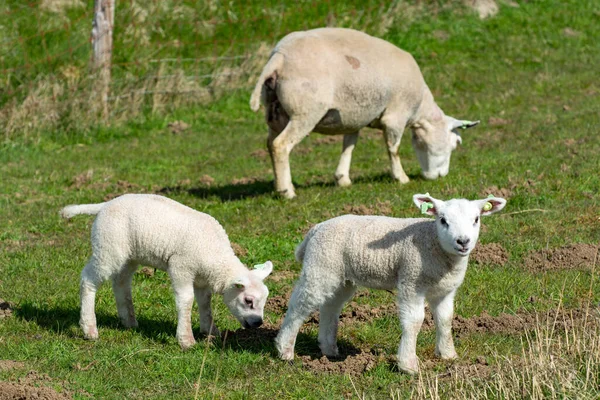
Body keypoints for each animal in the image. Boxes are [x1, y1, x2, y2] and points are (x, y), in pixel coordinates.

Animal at [60, 195, 272, 348]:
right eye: (248, 300)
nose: (258, 323)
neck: (215, 256)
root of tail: (105, 204)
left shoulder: (202, 279)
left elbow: (205, 303)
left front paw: (211, 331)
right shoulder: (181, 267)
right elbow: (186, 301)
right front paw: (186, 339)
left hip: (128, 255)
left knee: (121, 282)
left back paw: (129, 321)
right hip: (108, 246)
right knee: (88, 279)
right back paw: (89, 329)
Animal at [248, 26, 478, 198]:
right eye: (455, 143)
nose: (442, 176)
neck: (419, 110)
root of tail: (279, 57)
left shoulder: (354, 118)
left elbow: (349, 146)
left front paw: (343, 179)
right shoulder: (395, 116)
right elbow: (393, 148)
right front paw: (401, 178)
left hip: (275, 112)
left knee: (270, 144)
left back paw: (278, 186)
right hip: (305, 111)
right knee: (280, 145)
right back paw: (287, 191)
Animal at [276, 194, 506, 376]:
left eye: (476, 219)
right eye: (442, 220)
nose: (463, 241)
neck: (434, 244)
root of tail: (315, 229)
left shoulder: (445, 290)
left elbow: (445, 320)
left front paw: (448, 355)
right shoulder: (411, 281)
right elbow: (414, 321)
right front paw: (409, 365)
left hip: (340, 275)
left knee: (330, 306)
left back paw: (329, 349)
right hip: (320, 265)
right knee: (299, 305)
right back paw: (285, 350)